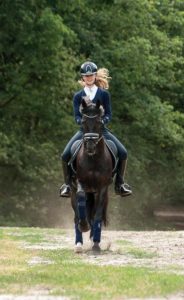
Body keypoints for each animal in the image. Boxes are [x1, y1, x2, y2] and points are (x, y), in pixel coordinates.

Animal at [70, 98, 113, 253]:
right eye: (82, 122)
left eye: (100, 122)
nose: (90, 146)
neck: (93, 158)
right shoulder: (80, 182)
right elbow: (81, 199)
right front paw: (84, 226)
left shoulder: (102, 187)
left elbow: (97, 215)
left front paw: (96, 244)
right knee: (76, 215)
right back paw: (78, 244)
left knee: (94, 214)